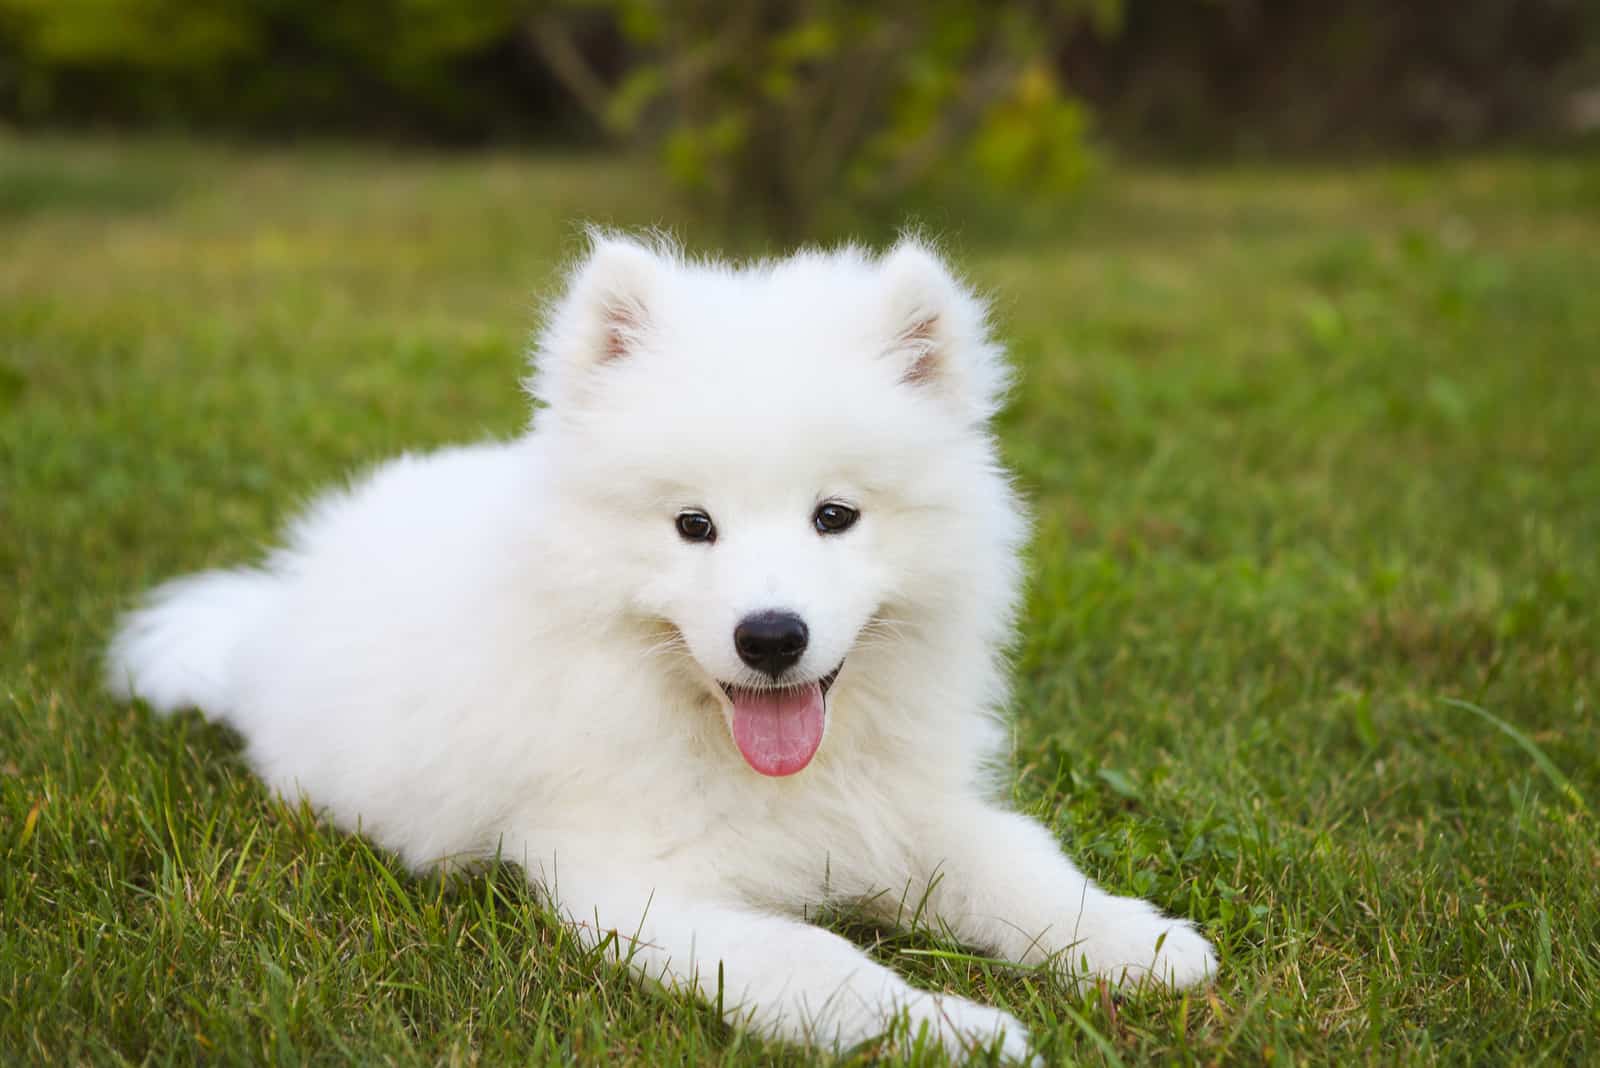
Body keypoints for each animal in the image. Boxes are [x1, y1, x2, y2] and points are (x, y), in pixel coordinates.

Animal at [109, 233, 1209, 1061]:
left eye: (835, 516)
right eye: (693, 525)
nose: (771, 636)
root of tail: (271, 608)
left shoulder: (905, 813)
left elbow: (1023, 869)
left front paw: (1140, 945)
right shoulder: (640, 887)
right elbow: (821, 966)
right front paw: (953, 1033)